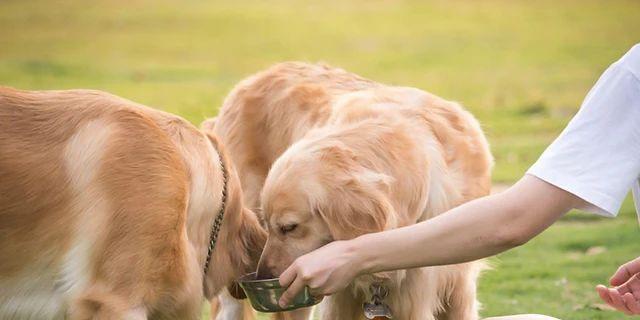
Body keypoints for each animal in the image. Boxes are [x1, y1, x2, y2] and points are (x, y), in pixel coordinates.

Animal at [212, 62, 492, 320]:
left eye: (289, 228)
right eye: (271, 227)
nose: (264, 276)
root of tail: (252, 79)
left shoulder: (454, 287)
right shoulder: (341, 295)